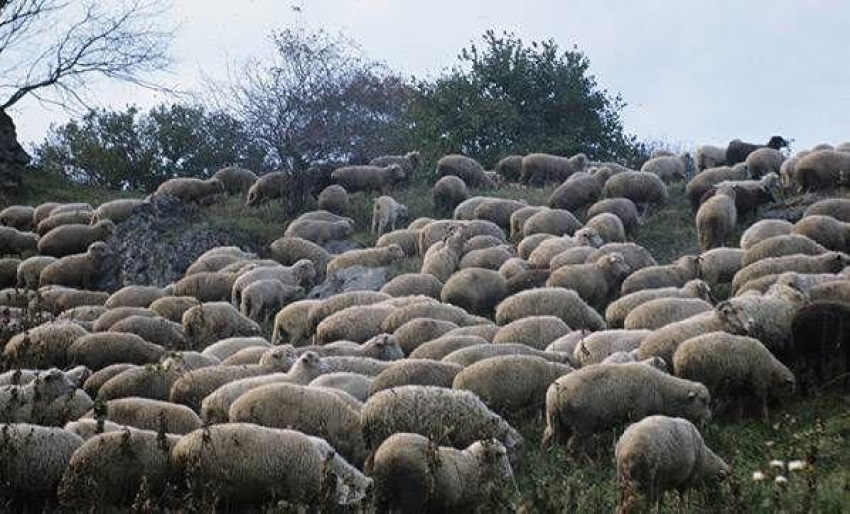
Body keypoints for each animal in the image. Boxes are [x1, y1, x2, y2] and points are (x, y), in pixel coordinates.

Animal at [372, 430, 510, 510]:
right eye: (499, 454)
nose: (508, 476)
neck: (474, 463)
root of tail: (386, 455)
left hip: (383, 493)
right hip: (411, 495)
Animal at [540, 362, 712, 450]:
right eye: (703, 401)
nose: (710, 419)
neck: (661, 389)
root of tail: (555, 394)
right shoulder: (639, 412)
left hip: (554, 420)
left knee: (547, 438)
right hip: (581, 424)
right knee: (572, 445)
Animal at [668, 330, 796, 418]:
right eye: (790, 389)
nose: (787, 408)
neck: (771, 369)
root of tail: (678, 356)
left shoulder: (741, 383)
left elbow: (740, 401)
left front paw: (739, 416)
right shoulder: (758, 380)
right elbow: (762, 400)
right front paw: (765, 417)